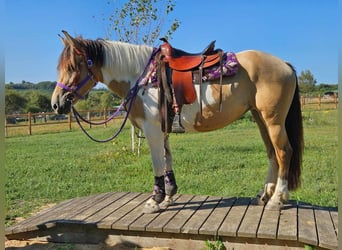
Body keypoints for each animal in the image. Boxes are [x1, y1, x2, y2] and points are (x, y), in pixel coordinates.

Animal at [51, 30, 304, 213]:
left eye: (72, 67)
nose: (56, 103)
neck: (142, 77)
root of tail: (285, 65)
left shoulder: (152, 129)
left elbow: (157, 163)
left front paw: (155, 200)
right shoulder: (162, 129)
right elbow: (167, 159)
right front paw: (169, 196)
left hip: (273, 121)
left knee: (284, 152)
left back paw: (277, 200)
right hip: (260, 118)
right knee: (272, 153)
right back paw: (264, 195)